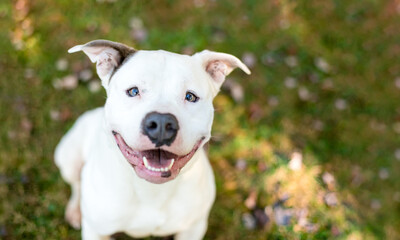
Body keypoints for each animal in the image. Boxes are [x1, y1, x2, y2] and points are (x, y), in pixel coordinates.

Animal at [54, 40, 248, 239]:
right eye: (133, 91)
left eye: (190, 96)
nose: (162, 123)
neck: (151, 190)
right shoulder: (96, 231)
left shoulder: (193, 228)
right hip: (68, 159)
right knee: (76, 184)